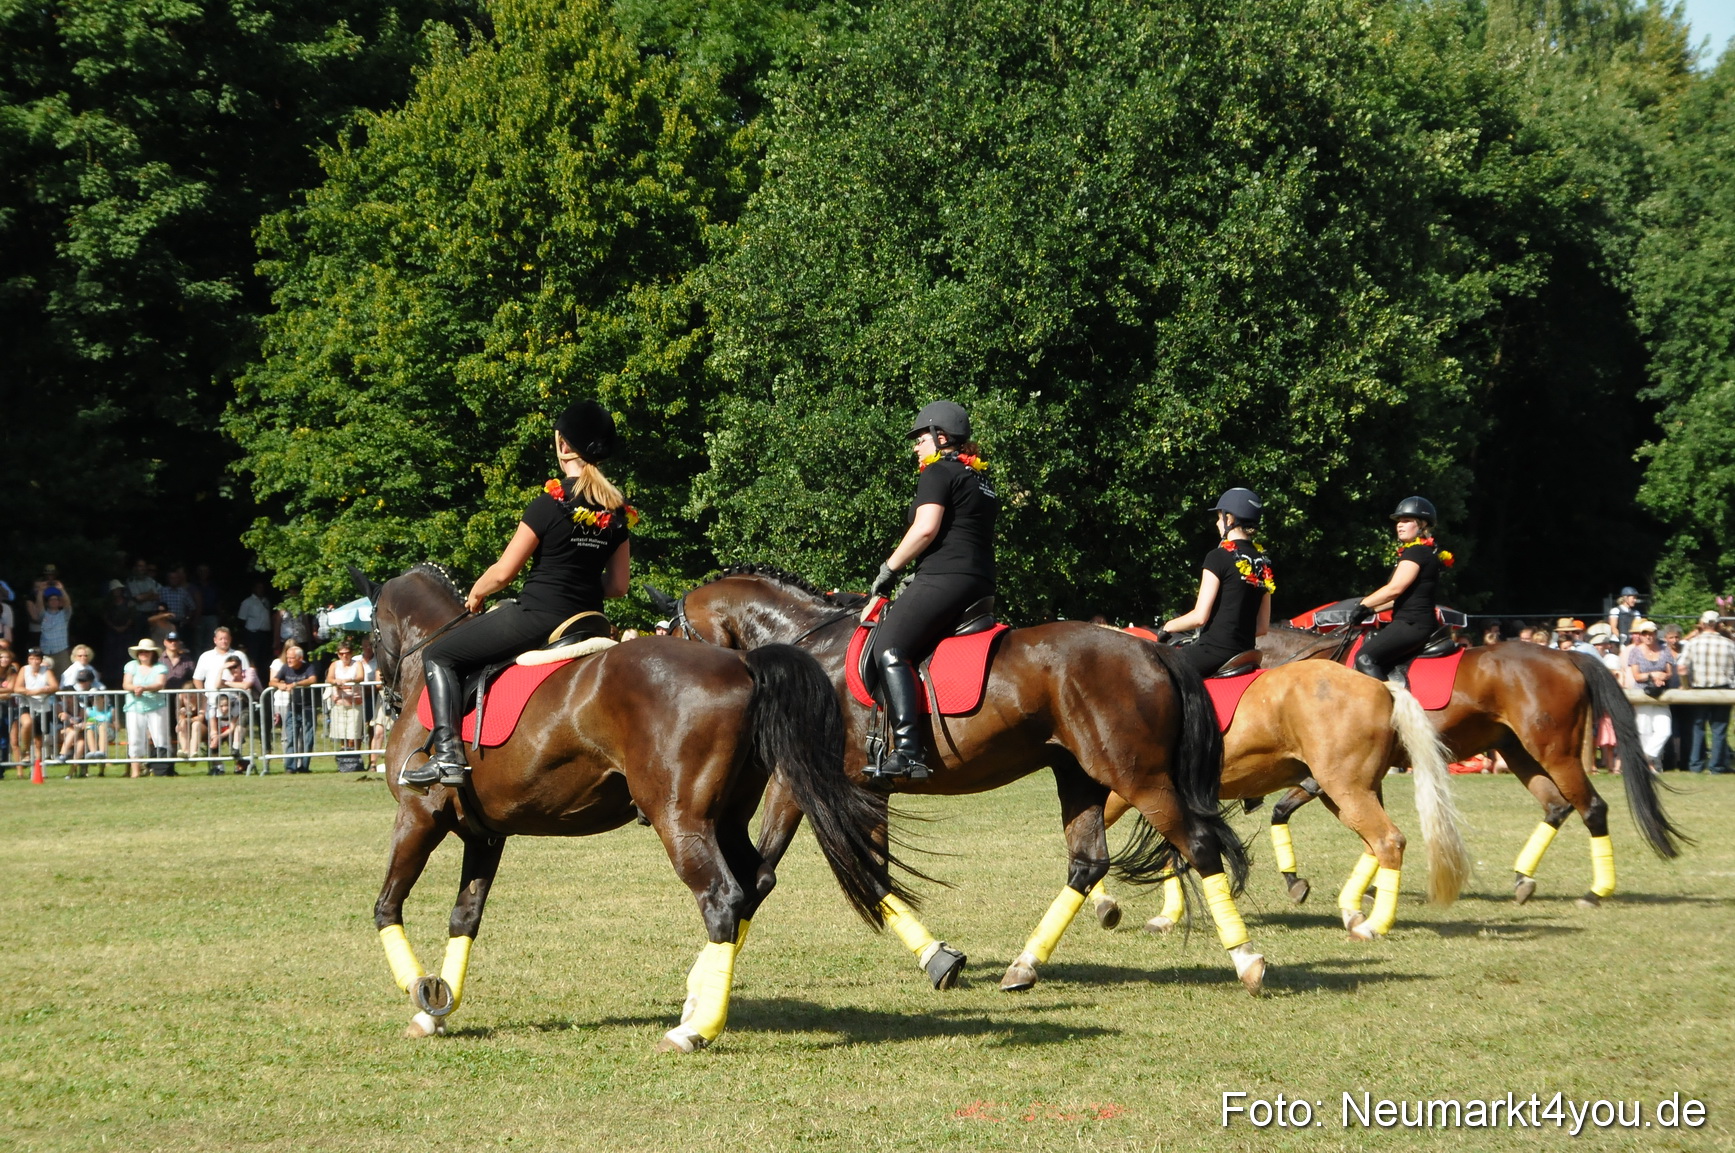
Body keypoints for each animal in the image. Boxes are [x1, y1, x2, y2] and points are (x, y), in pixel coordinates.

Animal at [356, 564, 904, 1052]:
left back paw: (693, 1030)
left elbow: (386, 906)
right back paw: (699, 1002)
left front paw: (421, 991)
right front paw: (436, 1010)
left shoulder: (418, 817)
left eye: (370, 636)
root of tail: (743, 664)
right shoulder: (485, 834)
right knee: (756, 882)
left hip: (679, 820)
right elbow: (464, 916)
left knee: (722, 897)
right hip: (725, 817)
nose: (386, 699)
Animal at [672, 566, 1264, 994]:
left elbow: (771, 875)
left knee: (1199, 844)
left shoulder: (800, 782)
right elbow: (853, 874)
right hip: (1080, 776)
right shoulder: (859, 788)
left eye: (674, 637)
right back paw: (1024, 966)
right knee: (1088, 862)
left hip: (1137, 776)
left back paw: (1247, 961)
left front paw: (707, 975)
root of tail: (1153, 649)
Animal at [1092, 655, 1470, 940]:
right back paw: (1353, 912)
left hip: (1345, 787)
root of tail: (1380, 686)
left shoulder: (1127, 791)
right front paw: (1164, 917)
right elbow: (1171, 854)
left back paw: (1373, 926)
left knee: (1387, 841)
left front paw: (1106, 906)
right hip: (1346, 792)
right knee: (1373, 843)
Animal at [1252, 625, 1687, 906]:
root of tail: (1565, 654)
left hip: (1556, 753)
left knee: (1591, 808)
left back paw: (1595, 893)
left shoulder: (1325, 777)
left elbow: (1283, 811)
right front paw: (1372, 886)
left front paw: (1297, 882)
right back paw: (1524, 879)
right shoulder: (1350, 780)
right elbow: (1345, 826)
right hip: (1518, 753)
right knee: (1556, 806)